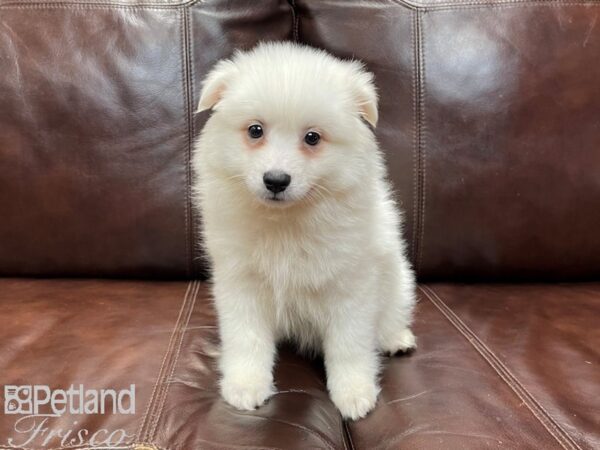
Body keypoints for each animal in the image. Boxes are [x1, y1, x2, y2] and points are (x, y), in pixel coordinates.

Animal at [193, 42, 418, 422]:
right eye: (255, 131)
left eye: (312, 138)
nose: (276, 180)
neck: (285, 222)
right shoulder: (242, 282)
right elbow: (246, 337)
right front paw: (245, 385)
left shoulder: (351, 286)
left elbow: (349, 344)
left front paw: (354, 393)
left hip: (398, 281)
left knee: (390, 316)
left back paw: (396, 339)